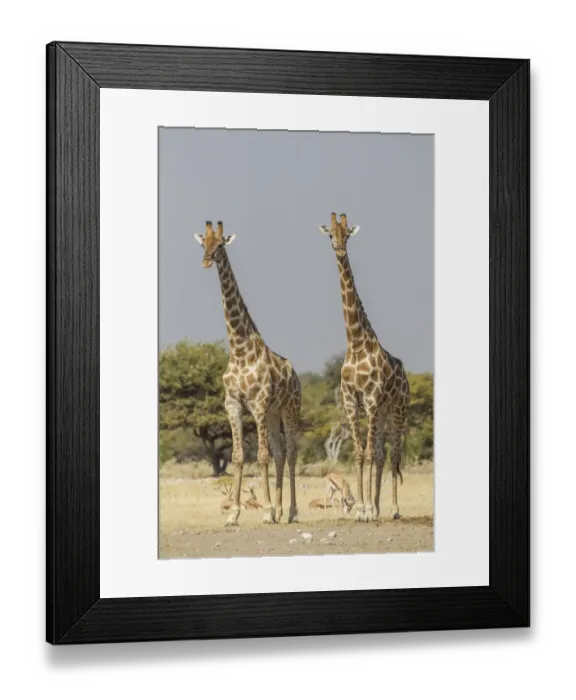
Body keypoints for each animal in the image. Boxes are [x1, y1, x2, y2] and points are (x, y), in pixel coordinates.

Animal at [194, 221, 301, 527]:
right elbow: (239, 456)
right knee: (280, 452)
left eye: (220, 245)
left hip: (289, 409)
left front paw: (264, 512)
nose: (206, 260)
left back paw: (290, 512)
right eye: (203, 243)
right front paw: (234, 514)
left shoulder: (258, 404)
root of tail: (296, 376)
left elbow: (261, 456)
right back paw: (279, 510)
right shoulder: (233, 404)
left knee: (290, 453)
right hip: (275, 414)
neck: (240, 350)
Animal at [317, 213, 411, 522]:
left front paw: (367, 509)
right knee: (381, 454)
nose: (339, 249)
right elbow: (360, 453)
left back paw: (393, 509)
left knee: (393, 455)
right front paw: (362, 508)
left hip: (397, 411)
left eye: (347, 234)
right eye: (330, 234)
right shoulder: (351, 401)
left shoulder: (369, 400)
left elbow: (368, 454)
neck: (356, 343)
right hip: (381, 415)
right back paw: (379, 507)